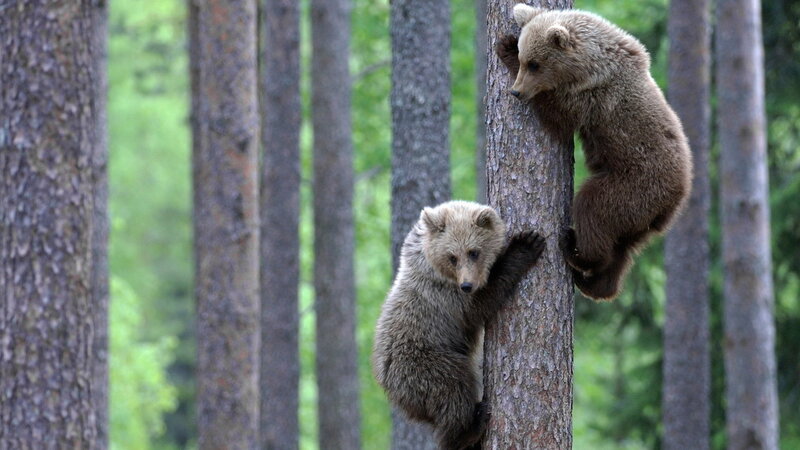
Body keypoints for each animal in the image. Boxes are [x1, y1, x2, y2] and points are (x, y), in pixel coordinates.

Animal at [372, 201, 545, 450]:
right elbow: (480, 305)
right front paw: (526, 244)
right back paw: (470, 427)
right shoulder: (445, 297)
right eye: (452, 256)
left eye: (474, 252)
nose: (467, 285)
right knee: (453, 388)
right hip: (424, 362)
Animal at [496, 3, 692, 301]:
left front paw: (504, 47)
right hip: (640, 217)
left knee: (593, 209)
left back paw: (575, 250)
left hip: (633, 186)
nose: (516, 91)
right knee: (622, 248)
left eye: (534, 63)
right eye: (525, 58)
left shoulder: (591, 99)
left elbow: (558, 119)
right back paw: (595, 283)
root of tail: (676, 199)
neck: (589, 65)